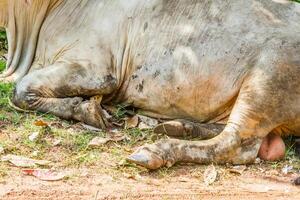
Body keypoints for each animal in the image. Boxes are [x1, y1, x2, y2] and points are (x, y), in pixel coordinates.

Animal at [0, 0, 300, 170]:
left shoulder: (98, 71)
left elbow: (21, 90)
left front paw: (88, 110)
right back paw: (179, 126)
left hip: (269, 76)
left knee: (237, 144)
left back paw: (156, 151)